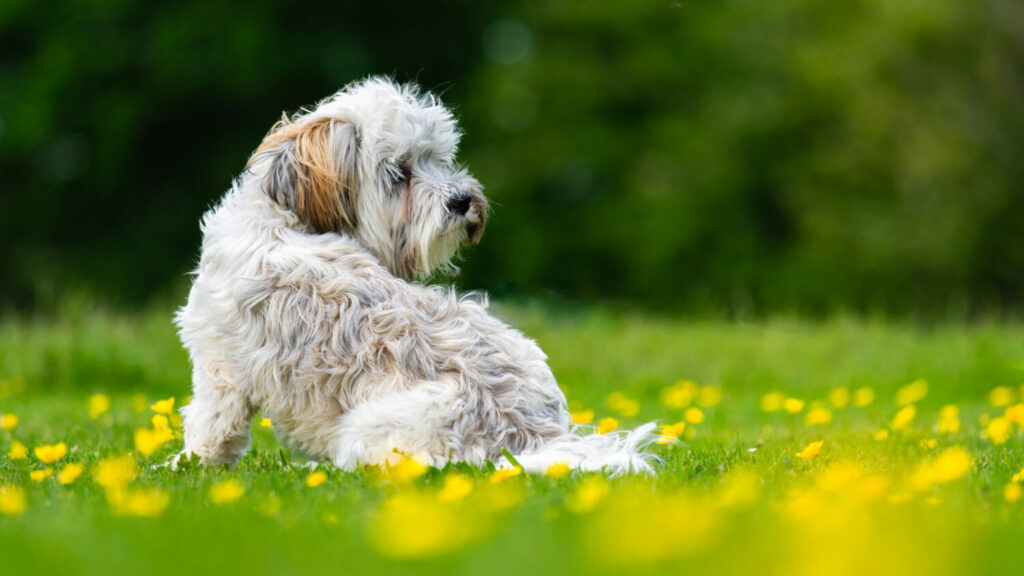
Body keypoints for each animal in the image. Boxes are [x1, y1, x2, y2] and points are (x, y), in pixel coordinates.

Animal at [176, 76, 655, 471]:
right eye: (399, 173)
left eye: (438, 159)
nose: (462, 200)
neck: (285, 221)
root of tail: (532, 440)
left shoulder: (219, 368)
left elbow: (210, 429)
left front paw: (184, 466)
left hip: (368, 427)